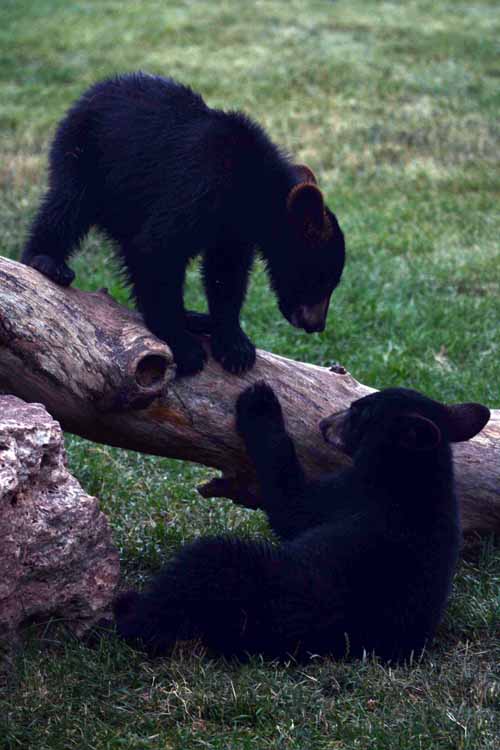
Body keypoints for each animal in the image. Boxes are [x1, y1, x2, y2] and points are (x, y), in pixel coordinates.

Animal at [21, 72, 346, 377]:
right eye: (323, 279)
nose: (316, 325)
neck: (249, 191)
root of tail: (91, 91)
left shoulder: (232, 231)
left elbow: (225, 274)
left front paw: (234, 345)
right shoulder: (197, 189)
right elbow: (156, 249)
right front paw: (183, 346)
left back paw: (196, 317)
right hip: (86, 156)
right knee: (67, 206)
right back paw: (46, 260)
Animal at [113, 382, 490, 662]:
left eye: (360, 410)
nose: (324, 423)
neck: (415, 474)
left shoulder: (349, 495)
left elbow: (292, 504)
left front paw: (260, 402)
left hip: (253, 587)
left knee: (197, 570)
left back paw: (126, 611)